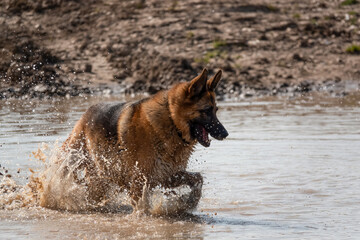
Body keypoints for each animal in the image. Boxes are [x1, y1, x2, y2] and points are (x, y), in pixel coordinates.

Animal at [55, 69, 228, 212]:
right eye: (206, 111)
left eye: (216, 110)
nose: (225, 134)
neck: (171, 120)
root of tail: (85, 116)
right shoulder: (140, 181)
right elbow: (141, 208)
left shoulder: (166, 176)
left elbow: (198, 178)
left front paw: (190, 201)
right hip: (94, 175)